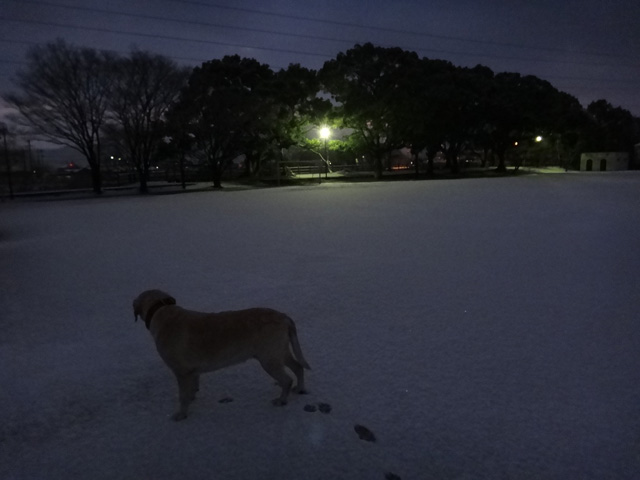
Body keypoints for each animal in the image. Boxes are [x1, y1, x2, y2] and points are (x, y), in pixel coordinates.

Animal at [132, 288, 310, 420]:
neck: (161, 311)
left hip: (269, 359)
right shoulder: (192, 371)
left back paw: (282, 400)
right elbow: (192, 387)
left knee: (286, 380)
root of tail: (284, 317)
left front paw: (181, 414)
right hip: (279, 352)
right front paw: (192, 397)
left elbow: (182, 395)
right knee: (298, 367)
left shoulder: (181, 371)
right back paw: (300, 389)